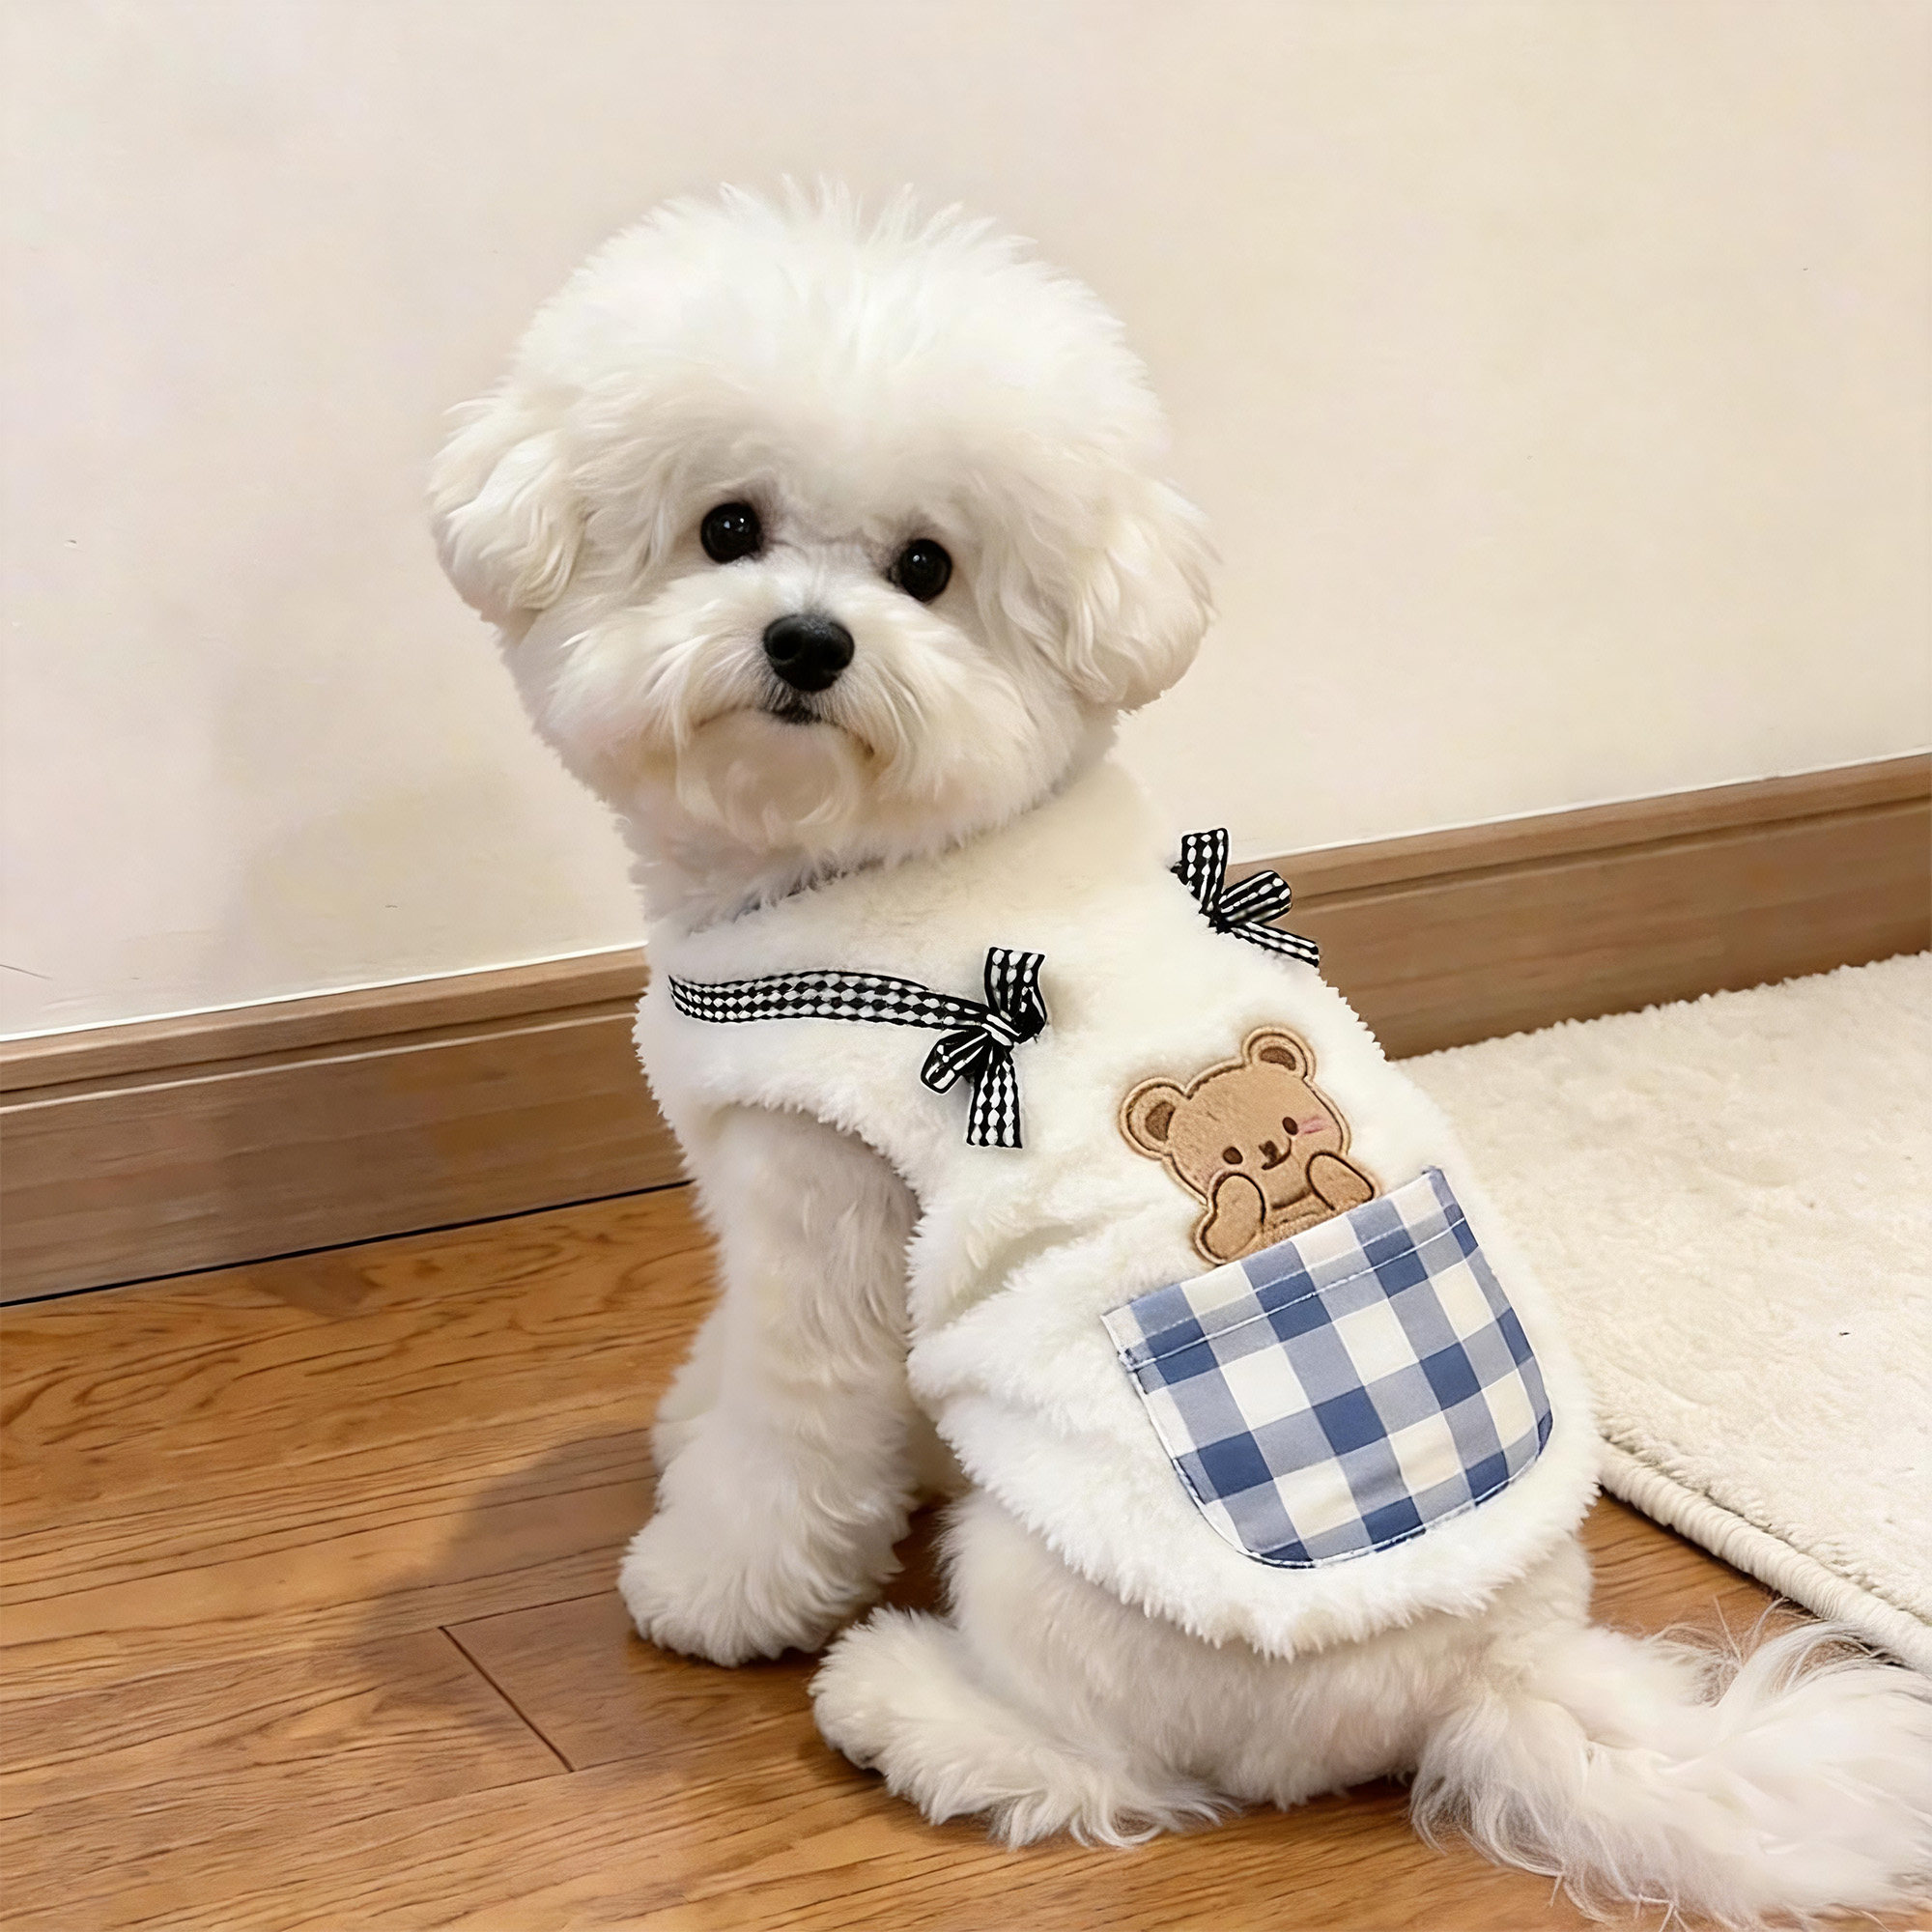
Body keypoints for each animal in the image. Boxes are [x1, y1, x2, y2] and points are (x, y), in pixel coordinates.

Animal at [1120, 1026, 1378, 1264]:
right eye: (1231, 1155)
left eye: (1290, 1125)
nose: (1270, 1148)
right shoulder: (1228, 1243)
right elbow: (1224, 1236)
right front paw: (1235, 1189)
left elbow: (1345, 1182)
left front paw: (1324, 1164)